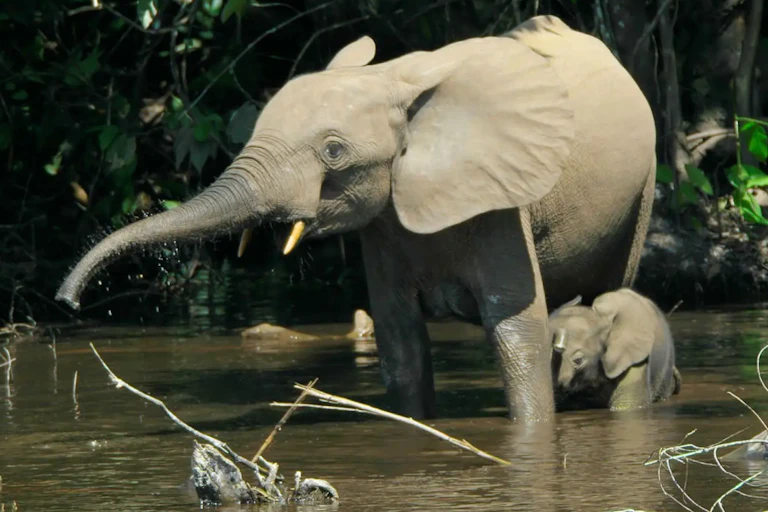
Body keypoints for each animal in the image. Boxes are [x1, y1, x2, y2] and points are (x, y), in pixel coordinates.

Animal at [55, 15, 657, 422]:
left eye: (334, 151)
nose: (67, 302)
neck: (393, 80)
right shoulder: (384, 222)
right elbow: (400, 340)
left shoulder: (501, 199)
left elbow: (516, 332)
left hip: (643, 188)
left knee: (609, 291)